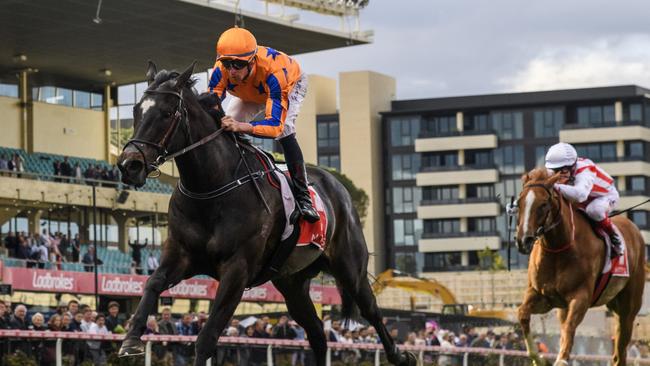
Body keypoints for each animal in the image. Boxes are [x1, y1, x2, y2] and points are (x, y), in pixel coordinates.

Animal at [115, 63, 416, 366]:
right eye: (136, 111)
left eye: (166, 113)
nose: (129, 165)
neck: (211, 187)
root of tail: (338, 187)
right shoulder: (181, 254)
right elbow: (152, 283)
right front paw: (131, 340)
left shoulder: (237, 269)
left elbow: (207, 338)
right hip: (292, 282)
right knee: (317, 333)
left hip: (350, 268)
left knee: (372, 310)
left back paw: (402, 356)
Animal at [512, 169, 644, 366]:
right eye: (519, 203)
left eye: (543, 204)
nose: (524, 240)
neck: (559, 249)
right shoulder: (543, 296)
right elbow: (522, 314)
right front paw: (539, 359)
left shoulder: (581, 297)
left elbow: (570, 326)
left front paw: (561, 360)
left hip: (628, 308)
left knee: (620, 352)